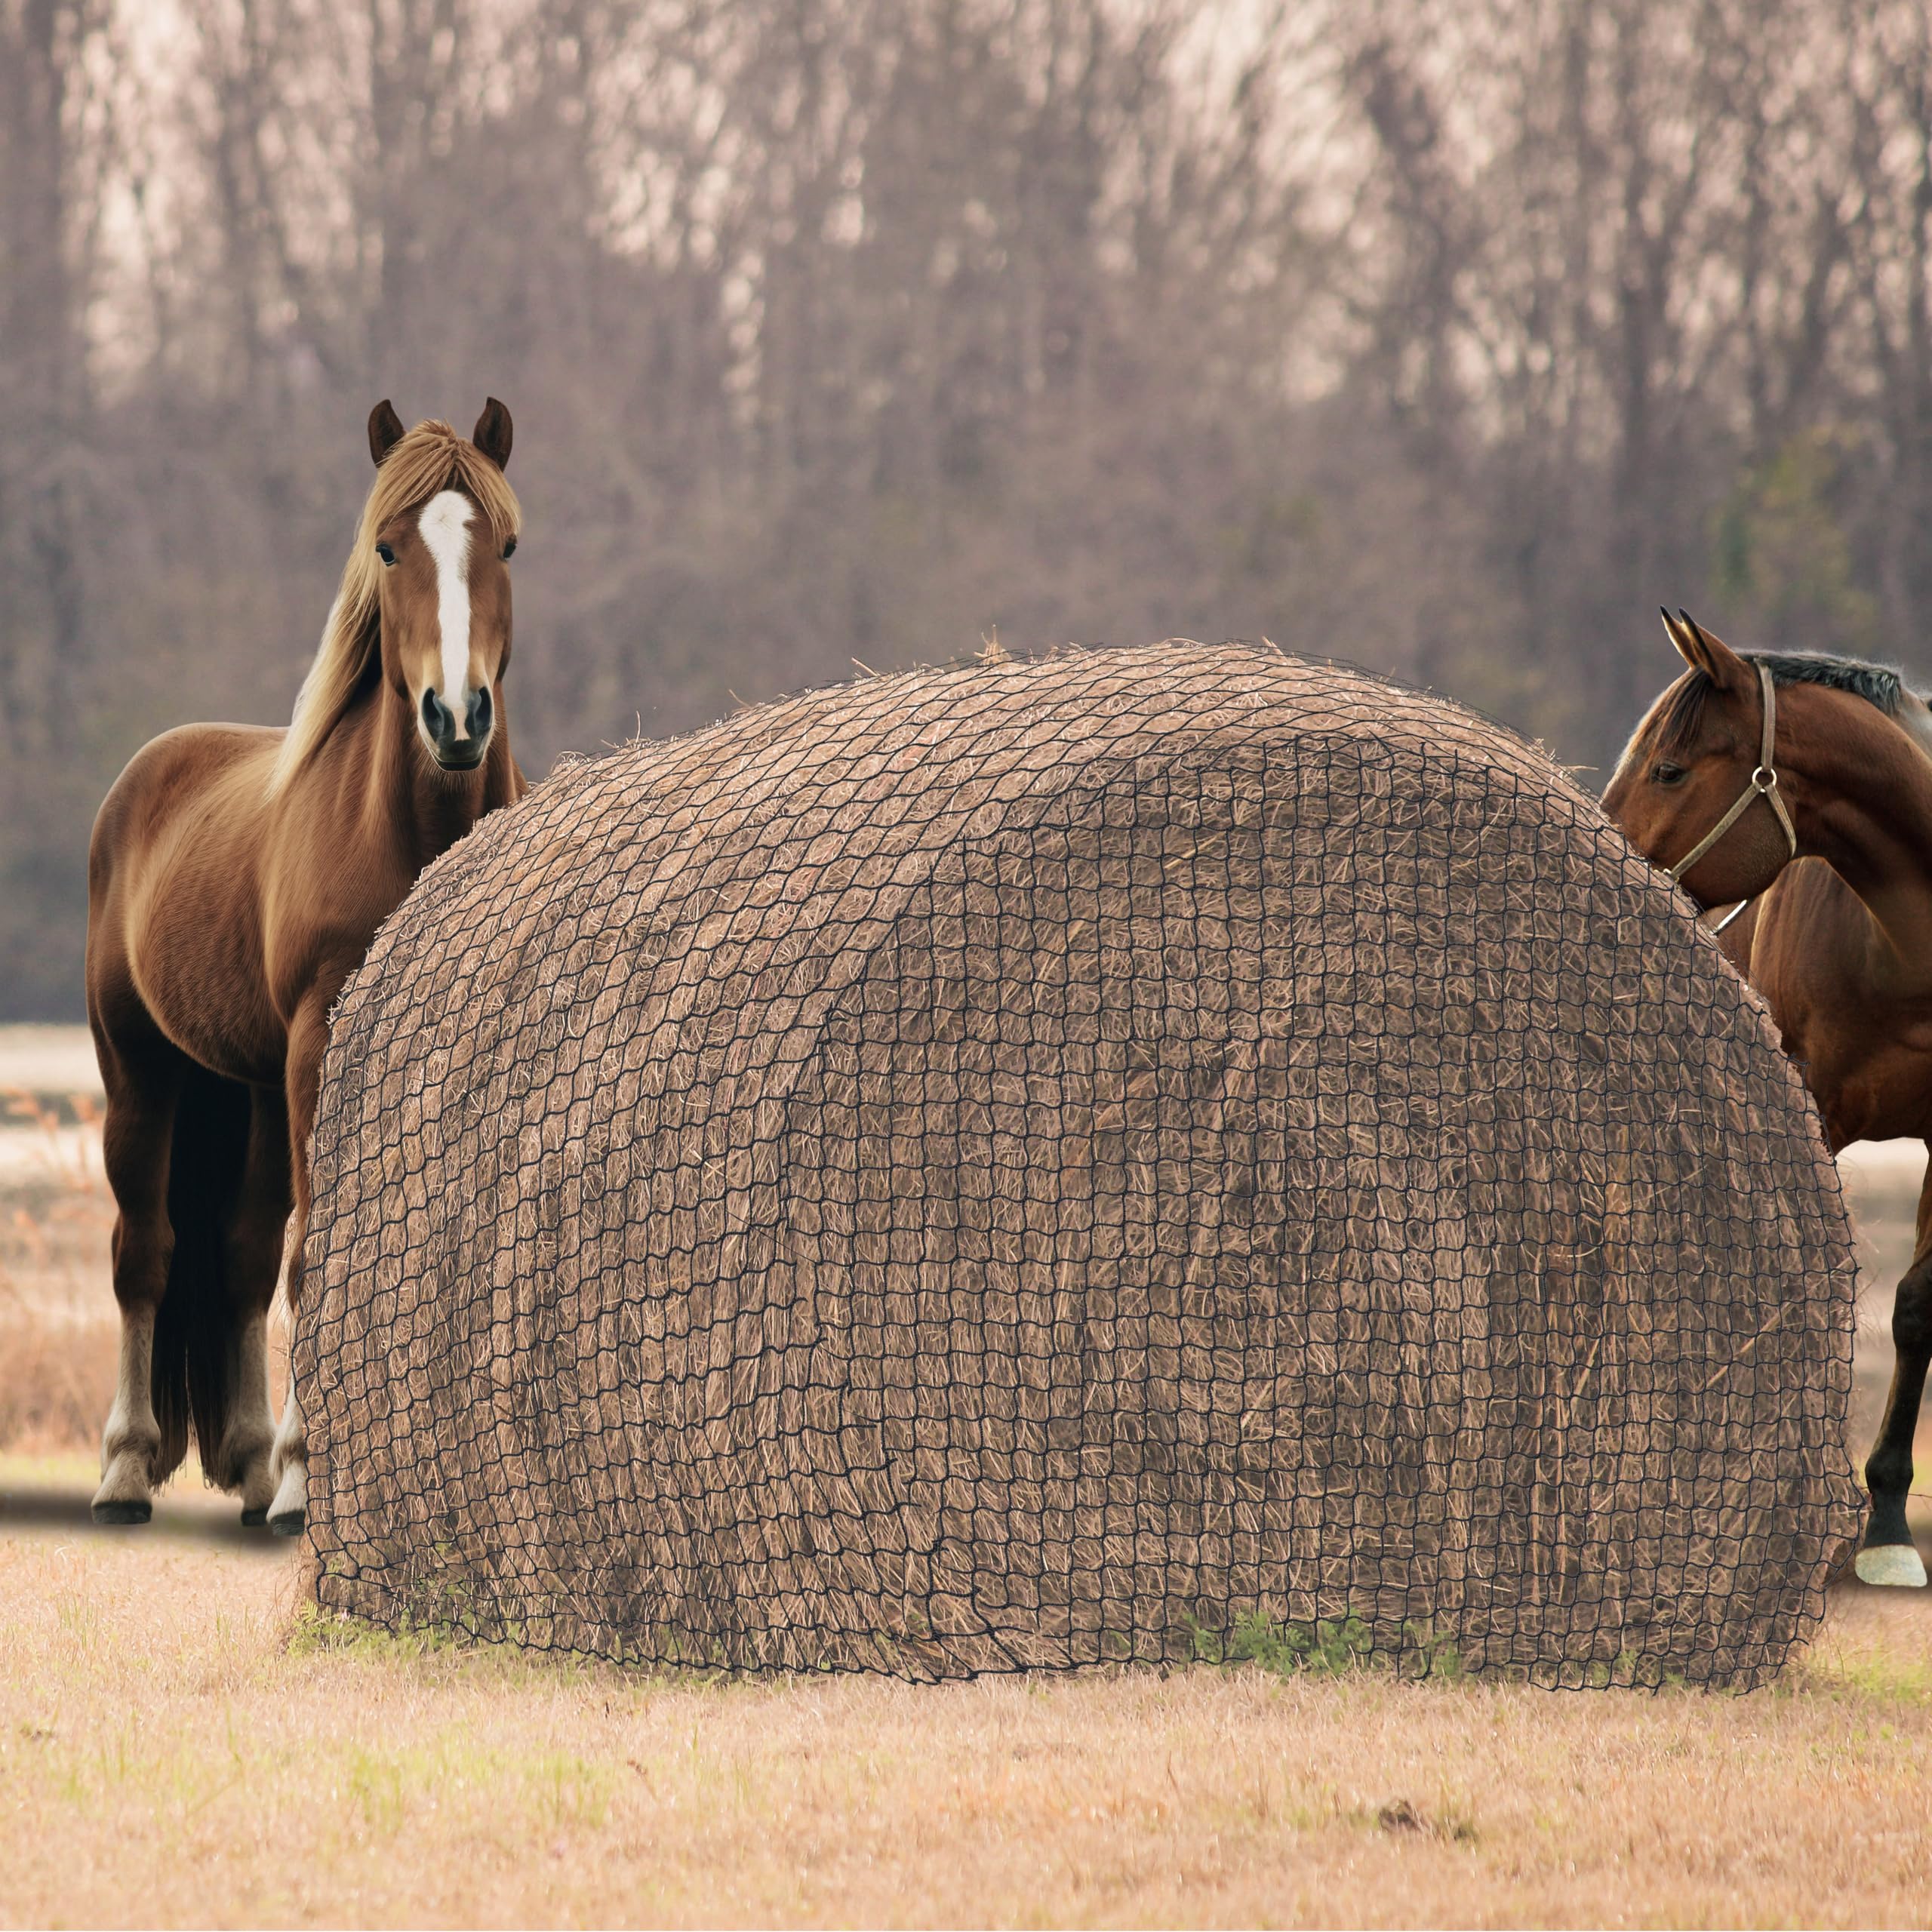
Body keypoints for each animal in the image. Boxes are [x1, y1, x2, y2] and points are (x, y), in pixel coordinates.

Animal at [87, 399, 526, 1535]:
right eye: (387, 547)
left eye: (506, 546)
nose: (456, 719)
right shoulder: (317, 1044)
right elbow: (316, 1249)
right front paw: (304, 1479)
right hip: (142, 1075)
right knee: (144, 1252)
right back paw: (130, 1469)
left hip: (245, 1089)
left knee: (237, 1256)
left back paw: (246, 1463)